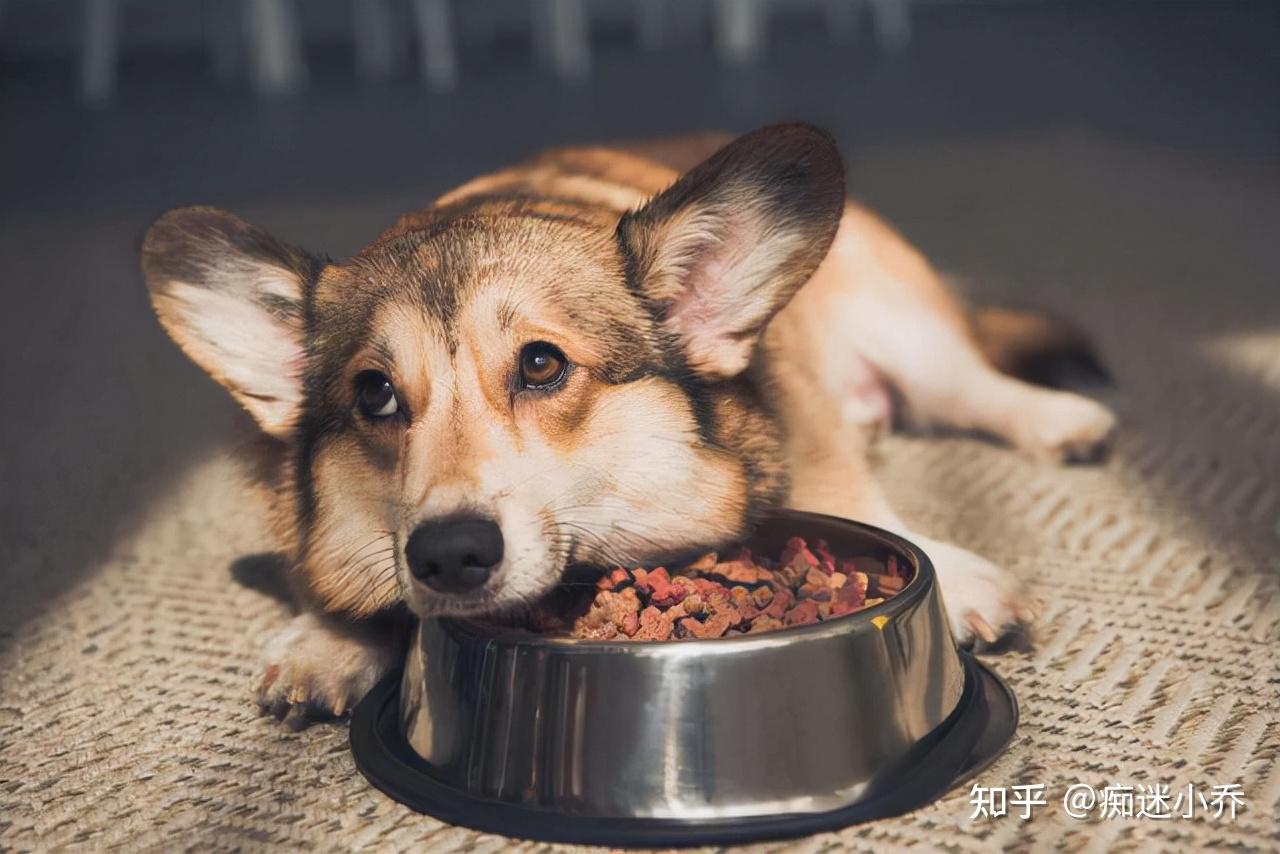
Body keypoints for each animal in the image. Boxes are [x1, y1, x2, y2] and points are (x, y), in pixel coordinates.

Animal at [140, 125, 1116, 727]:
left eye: (541, 365)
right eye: (376, 395)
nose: (450, 556)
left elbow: (853, 495)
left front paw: (959, 577)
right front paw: (329, 642)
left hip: (902, 324)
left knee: (973, 385)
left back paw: (1061, 419)